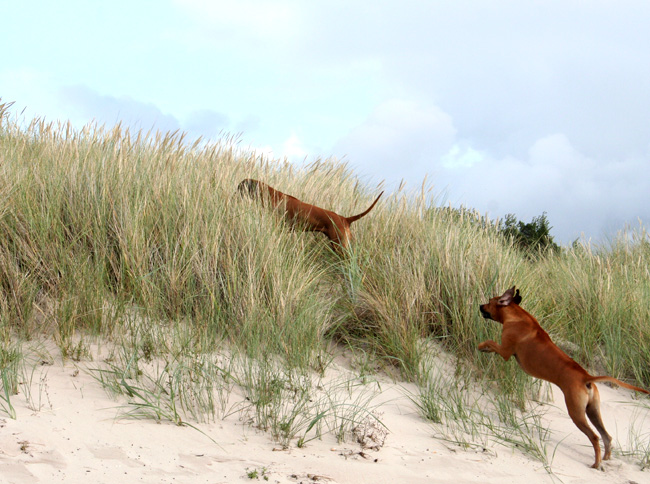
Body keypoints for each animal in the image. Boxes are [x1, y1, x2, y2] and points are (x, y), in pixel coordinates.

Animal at [478, 288, 644, 468]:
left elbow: (490, 342)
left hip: (576, 413)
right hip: (593, 411)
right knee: (606, 436)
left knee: (594, 437)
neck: (517, 316)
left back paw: (596, 464)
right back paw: (605, 459)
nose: (480, 306)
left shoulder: (505, 351)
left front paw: (482, 346)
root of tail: (586, 377)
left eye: (489, 301)